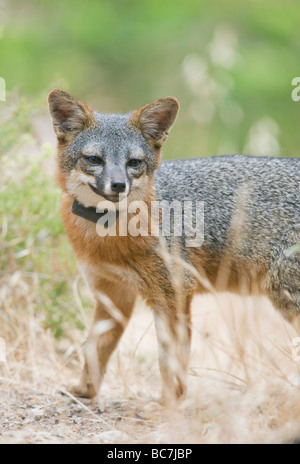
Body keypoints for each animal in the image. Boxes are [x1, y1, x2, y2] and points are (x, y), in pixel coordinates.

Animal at [48, 89, 300, 402]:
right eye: (93, 159)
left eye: (134, 163)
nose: (118, 185)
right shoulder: (113, 293)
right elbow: (96, 349)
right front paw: (84, 390)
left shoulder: (174, 292)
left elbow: (171, 360)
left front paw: (168, 404)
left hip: (284, 295)